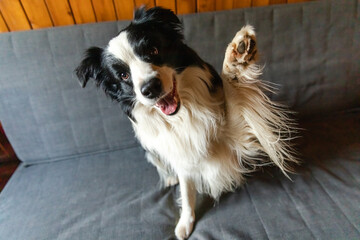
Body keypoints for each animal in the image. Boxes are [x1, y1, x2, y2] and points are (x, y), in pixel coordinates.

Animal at [74, 6, 296, 239]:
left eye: (153, 50)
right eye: (123, 75)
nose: (150, 88)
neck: (183, 113)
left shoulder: (232, 139)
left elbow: (233, 93)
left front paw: (237, 57)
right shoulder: (180, 152)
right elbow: (187, 190)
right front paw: (185, 222)